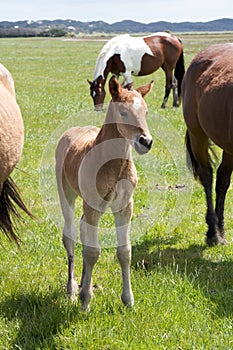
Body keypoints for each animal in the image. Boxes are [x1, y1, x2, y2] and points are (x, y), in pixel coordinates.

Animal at [54, 76, 153, 308]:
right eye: (123, 112)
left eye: (145, 112)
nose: (146, 141)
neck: (113, 165)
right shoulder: (92, 205)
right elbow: (92, 251)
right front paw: (85, 301)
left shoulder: (125, 206)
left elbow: (124, 251)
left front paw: (128, 300)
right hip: (67, 194)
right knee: (71, 235)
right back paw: (72, 289)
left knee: (82, 230)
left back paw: (84, 282)